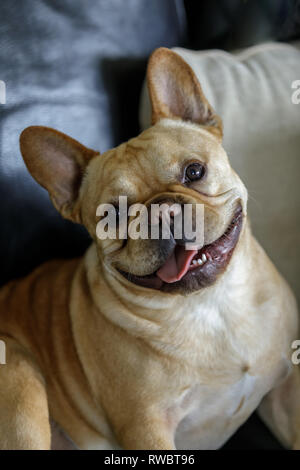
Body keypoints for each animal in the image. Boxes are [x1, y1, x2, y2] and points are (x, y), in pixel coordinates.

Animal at [0, 46, 298, 448]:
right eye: (113, 213)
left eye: (194, 171)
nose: (163, 211)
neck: (210, 306)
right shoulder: (146, 427)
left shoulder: (286, 389)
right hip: (19, 375)